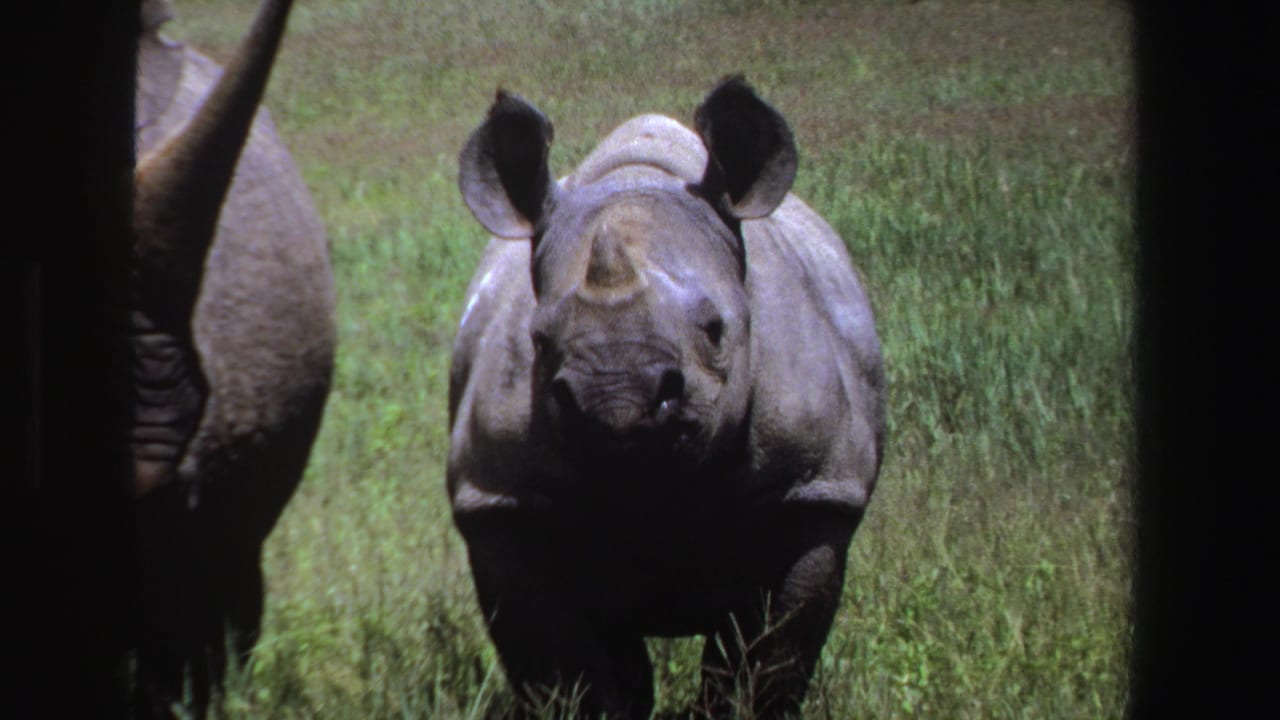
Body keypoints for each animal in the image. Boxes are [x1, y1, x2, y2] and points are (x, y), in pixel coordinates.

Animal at [448, 77, 886, 718]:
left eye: (715, 330)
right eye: (540, 341)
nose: (616, 401)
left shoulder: (811, 489)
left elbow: (760, 665)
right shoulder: (500, 501)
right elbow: (566, 672)